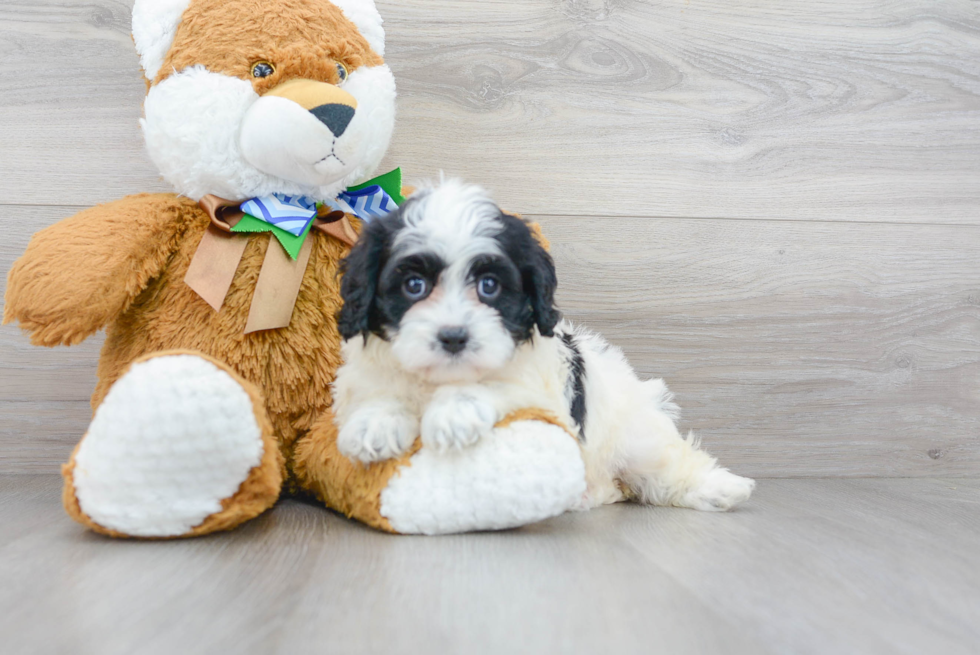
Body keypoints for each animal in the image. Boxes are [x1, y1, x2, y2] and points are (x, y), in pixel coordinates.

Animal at [334, 179, 756, 512]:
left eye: (489, 285)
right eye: (414, 286)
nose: (454, 337)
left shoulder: (541, 391)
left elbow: (500, 385)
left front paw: (455, 412)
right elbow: (380, 390)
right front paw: (376, 422)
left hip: (637, 436)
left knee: (666, 466)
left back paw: (721, 489)